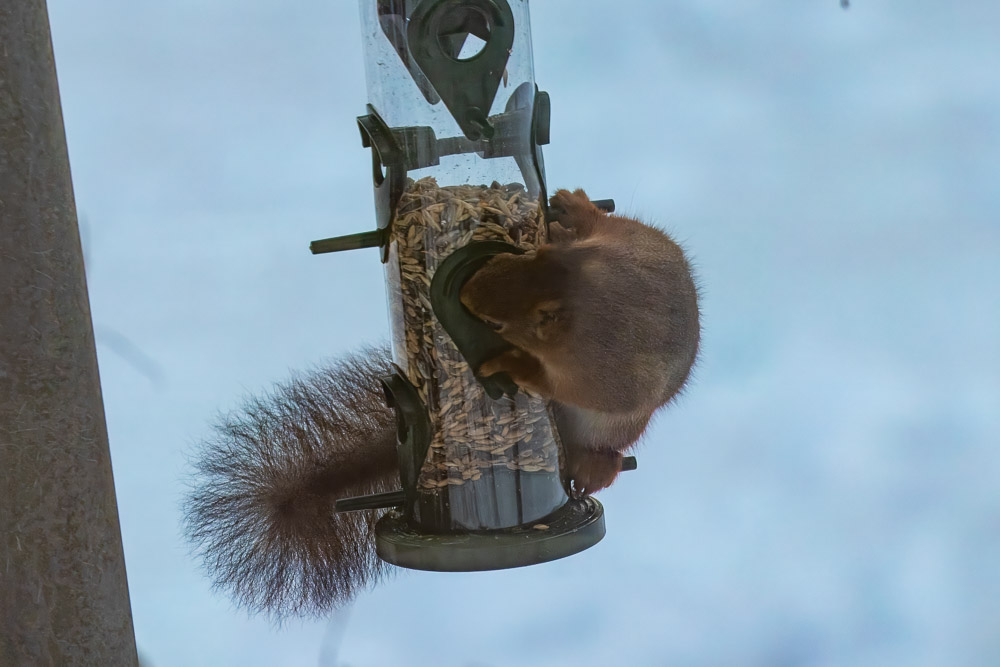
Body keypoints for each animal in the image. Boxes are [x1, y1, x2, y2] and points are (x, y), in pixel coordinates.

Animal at [458, 188, 700, 496]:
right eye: (533, 253)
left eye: (495, 324)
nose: (465, 294)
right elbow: (600, 225)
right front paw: (575, 208)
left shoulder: (596, 380)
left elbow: (548, 382)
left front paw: (512, 364)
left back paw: (592, 468)